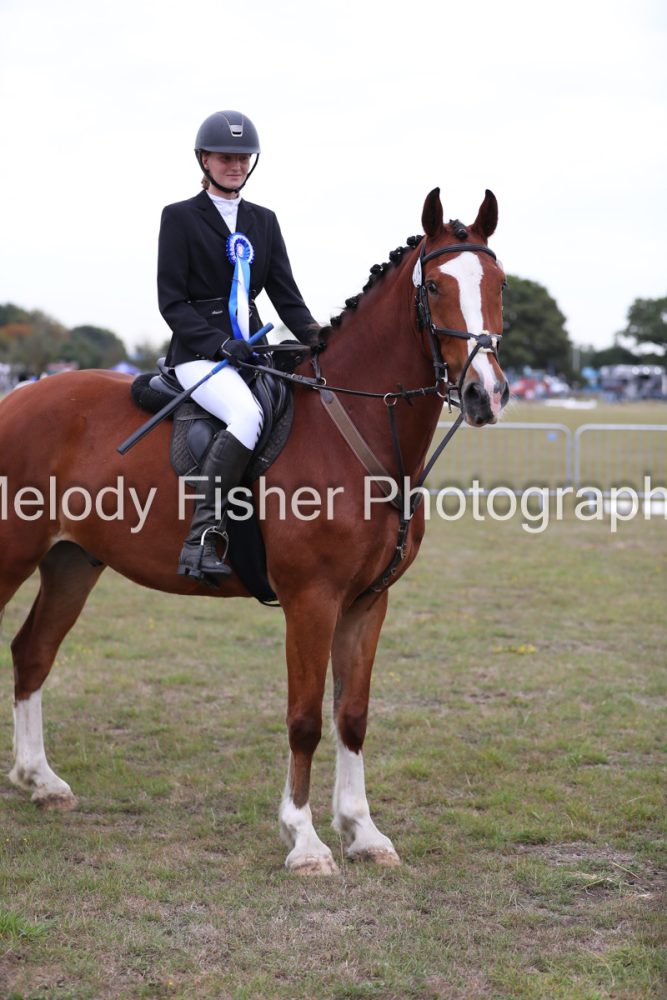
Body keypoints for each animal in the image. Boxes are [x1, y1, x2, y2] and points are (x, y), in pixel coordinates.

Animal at [0, 188, 509, 874]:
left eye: (500, 285)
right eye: (433, 286)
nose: (486, 395)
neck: (357, 430)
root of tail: (18, 397)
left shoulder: (367, 602)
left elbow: (352, 715)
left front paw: (364, 833)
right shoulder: (311, 600)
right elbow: (305, 719)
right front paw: (306, 842)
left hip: (72, 562)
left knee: (33, 651)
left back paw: (42, 782)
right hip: (12, 553)